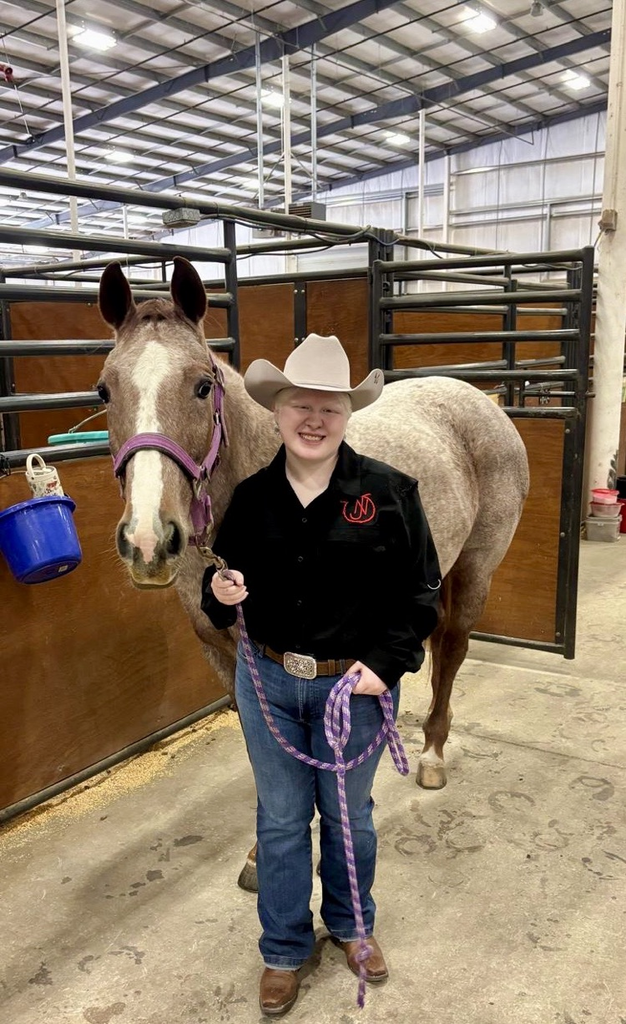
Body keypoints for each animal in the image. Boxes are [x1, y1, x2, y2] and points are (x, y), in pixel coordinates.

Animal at [97, 255, 529, 891]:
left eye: (202, 385)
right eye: (105, 389)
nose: (148, 541)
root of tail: (479, 399)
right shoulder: (224, 653)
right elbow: (263, 749)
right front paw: (261, 853)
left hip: (475, 569)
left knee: (451, 650)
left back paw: (430, 757)